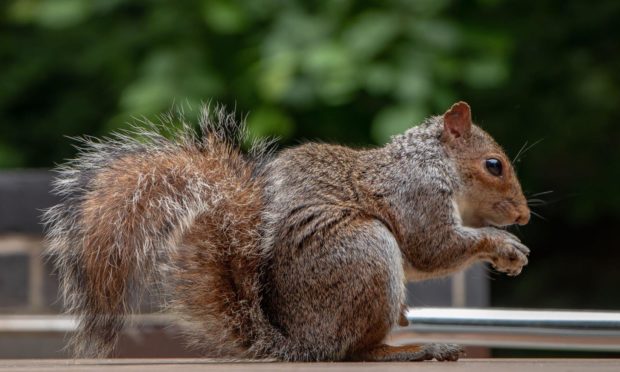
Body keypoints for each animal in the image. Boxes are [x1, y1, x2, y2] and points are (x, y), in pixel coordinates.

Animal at [43, 101, 532, 360]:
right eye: (494, 165)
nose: (524, 216)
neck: (433, 161)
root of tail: (302, 342)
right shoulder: (417, 193)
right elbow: (433, 248)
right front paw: (505, 246)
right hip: (365, 251)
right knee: (356, 352)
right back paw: (412, 350)